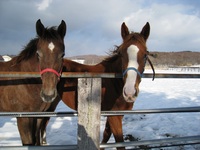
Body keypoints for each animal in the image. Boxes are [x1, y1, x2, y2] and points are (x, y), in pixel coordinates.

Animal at [39, 21, 154, 149]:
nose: (129, 92)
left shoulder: (116, 115)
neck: (113, 83)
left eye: (145, 54)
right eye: (121, 54)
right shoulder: (114, 116)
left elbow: (106, 136)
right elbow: (119, 143)